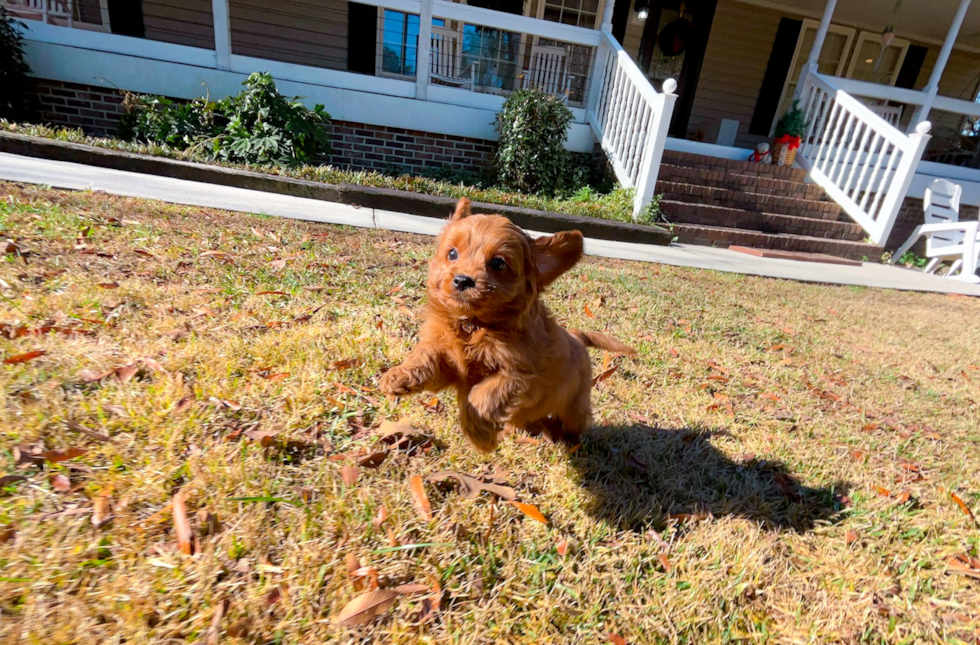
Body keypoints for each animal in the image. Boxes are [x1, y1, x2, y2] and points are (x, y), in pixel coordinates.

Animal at [376, 197, 636, 452]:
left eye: (498, 263)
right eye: (452, 254)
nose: (462, 280)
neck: (475, 325)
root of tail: (575, 336)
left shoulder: (522, 379)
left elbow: (483, 395)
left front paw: (479, 436)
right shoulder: (450, 360)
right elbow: (427, 355)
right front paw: (399, 376)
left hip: (575, 406)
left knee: (576, 423)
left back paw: (570, 442)